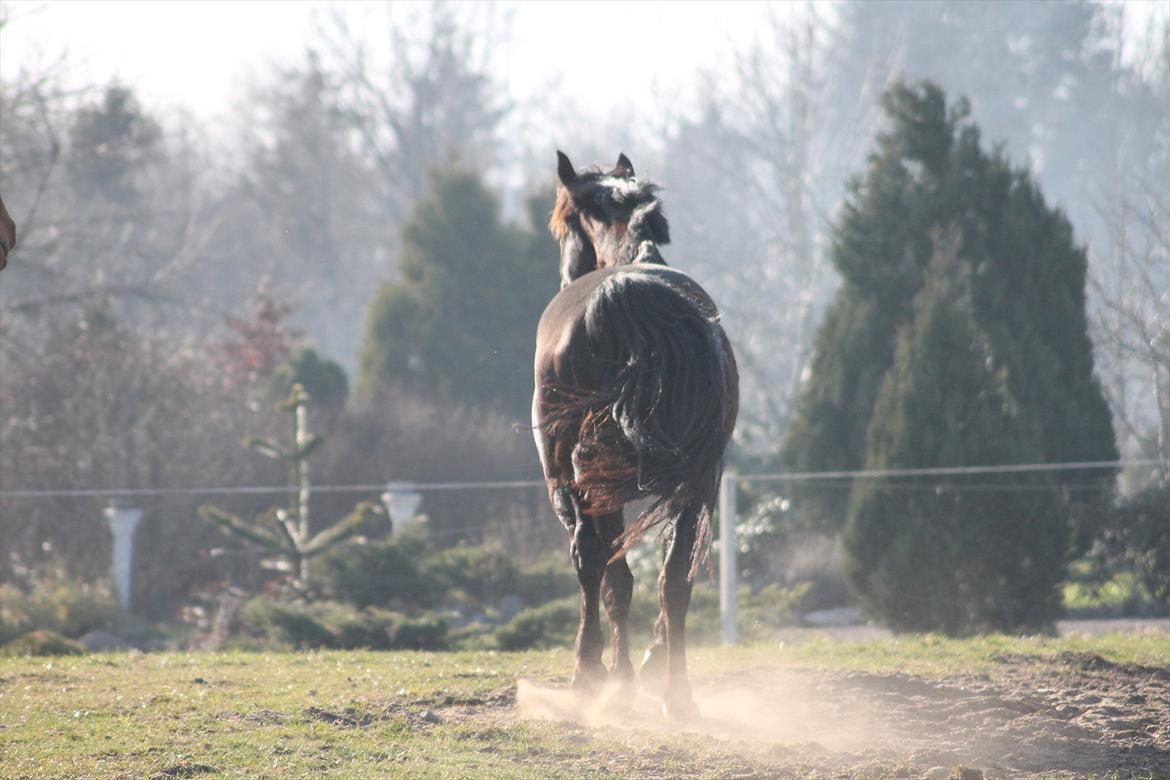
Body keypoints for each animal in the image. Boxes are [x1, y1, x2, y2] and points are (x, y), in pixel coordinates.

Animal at [533, 149, 734, 715]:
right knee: (674, 577)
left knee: (596, 563)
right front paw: (644, 664)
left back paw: (595, 673)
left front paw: (608, 670)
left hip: (579, 479)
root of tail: (625, 294)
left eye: (564, 226)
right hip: (698, 482)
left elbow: (604, 571)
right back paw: (676, 692)